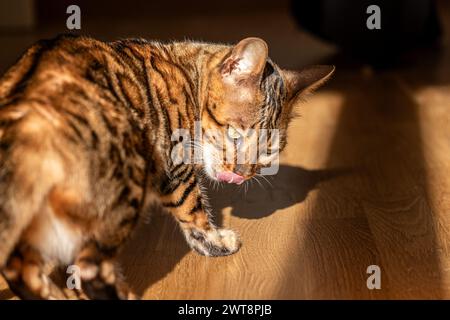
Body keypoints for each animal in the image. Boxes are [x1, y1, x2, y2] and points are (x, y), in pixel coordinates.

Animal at [0, 35, 332, 300]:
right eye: (235, 134)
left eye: (268, 152)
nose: (240, 174)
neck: (186, 75)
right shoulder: (177, 167)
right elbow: (194, 211)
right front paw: (217, 242)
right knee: (88, 269)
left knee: (22, 269)